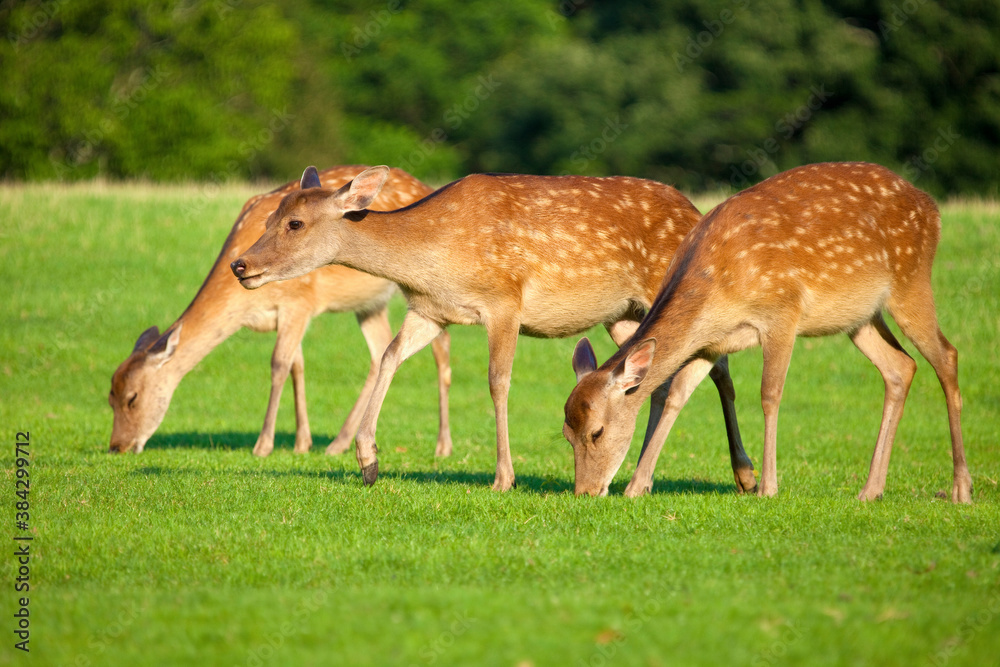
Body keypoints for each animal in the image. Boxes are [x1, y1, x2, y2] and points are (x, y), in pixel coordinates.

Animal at [109, 166, 454, 460]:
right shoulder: (283, 316)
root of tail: (426, 186)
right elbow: (296, 366)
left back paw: (442, 446)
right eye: (109, 397)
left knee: (442, 351)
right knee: (379, 349)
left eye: (132, 398)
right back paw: (339, 443)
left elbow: (278, 364)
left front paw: (263, 445)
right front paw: (303, 442)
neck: (247, 309)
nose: (117, 447)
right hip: (369, 303)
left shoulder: (299, 302)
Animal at [229, 164, 756, 494]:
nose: (240, 265)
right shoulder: (429, 310)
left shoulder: (505, 300)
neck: (433, 259)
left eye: (295, 223)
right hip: (623, 314)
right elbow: (389, 357)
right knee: (653, 376)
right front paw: (367, 461)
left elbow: (498, 381)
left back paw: (745, 476)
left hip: (681, 297)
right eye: (272, 215)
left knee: (719, 369)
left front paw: (504, 477)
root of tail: (696, 212)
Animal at [568, 163, 972, 500]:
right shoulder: (712, 341)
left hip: (910, 280)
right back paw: (870, 490)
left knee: (947, 356)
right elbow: (677, 395)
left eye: (596, 432)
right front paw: (636, 486)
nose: (585, 492)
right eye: (566, 434)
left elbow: (769, 394)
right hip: (860, 317)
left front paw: (768, 487)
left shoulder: (783, 313)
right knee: (901, 366)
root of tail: (931, 206)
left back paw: (960, 489)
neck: (720, 290)